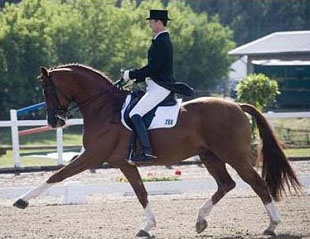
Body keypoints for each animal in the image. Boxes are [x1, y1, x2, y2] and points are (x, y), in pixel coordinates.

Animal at [13, 63, 300, 237]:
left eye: (47, 89)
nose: (54, 122)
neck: (103, 107)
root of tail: (237, 105)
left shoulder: (92, 156)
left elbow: (57, 175)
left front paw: (22, 201)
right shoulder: (124, 163)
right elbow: (141, 193)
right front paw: (147, 227)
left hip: (234, 156)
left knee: (257, 183)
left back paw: (272, 225)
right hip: (210, 156)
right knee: (226, 184)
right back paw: (200, 220)